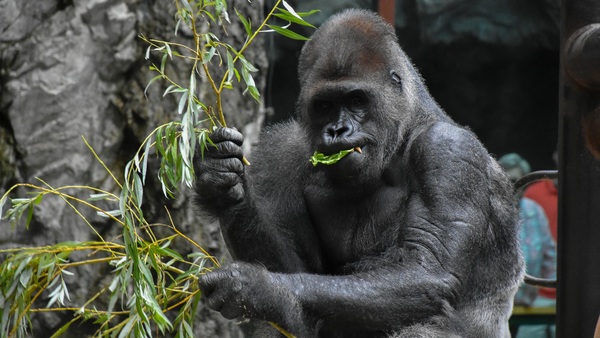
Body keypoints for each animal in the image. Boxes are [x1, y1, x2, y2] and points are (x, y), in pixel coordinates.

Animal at [195, 7, 524, 338]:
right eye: (324, 105)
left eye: (356, 100)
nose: (338, 130)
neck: (403, 132)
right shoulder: (281, 152)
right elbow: (295, 278)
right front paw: (222, 185)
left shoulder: (447, 150)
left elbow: (429, 271)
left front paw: (258, 289)